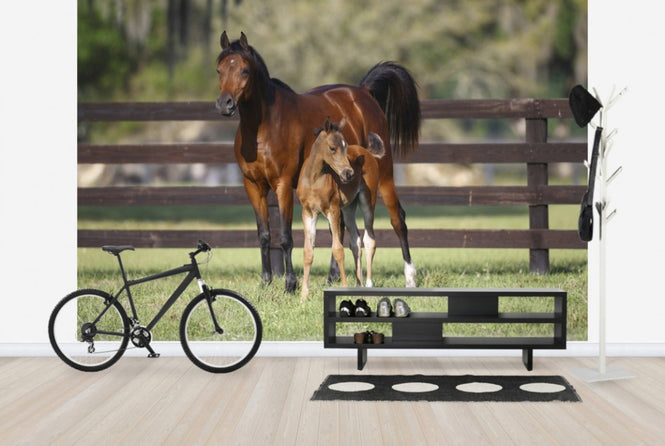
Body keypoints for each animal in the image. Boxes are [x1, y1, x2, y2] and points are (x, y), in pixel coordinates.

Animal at [297, 118, 385, 300]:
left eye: (346, 147)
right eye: (332, 148)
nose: (348, 173)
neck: (314, 179)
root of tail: (367, 152)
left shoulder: (333, 210)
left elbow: (337, 249)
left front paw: (344, 289)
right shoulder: (308, 213)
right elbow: (308, 252)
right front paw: (303, 296)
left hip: (367, 201)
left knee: (369, 239)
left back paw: (368, 284)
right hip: (349, 208)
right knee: (355, 241)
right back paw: (358, 286)